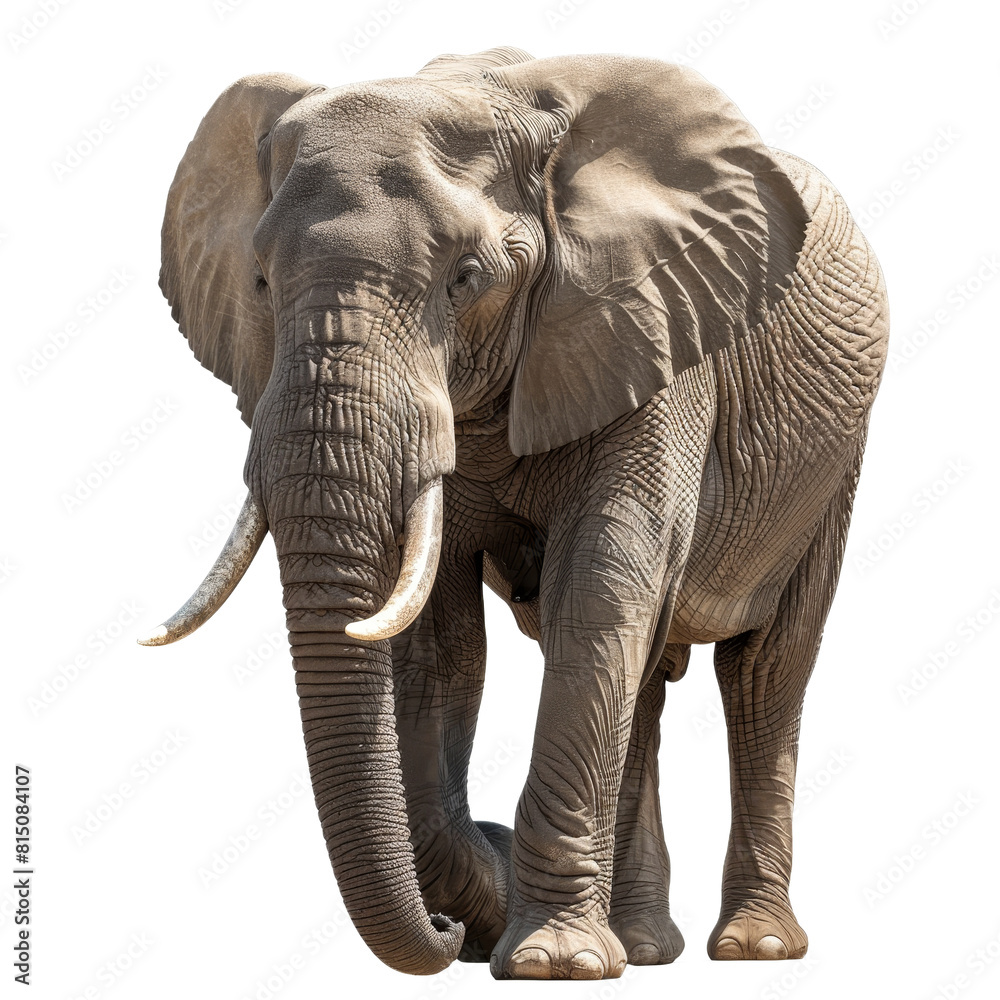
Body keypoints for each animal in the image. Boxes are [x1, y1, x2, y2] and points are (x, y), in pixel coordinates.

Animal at [141, 47, 888, 980]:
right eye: (261, 281)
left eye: (466, 280)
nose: (449, 931)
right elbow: (439, 634)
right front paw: (510, 926)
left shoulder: (655, 328)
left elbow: (599, 590)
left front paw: (551, 963)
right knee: (647, 680)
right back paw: (643, 948)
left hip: (835, 463)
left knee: (764, 672)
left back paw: (754, 948)